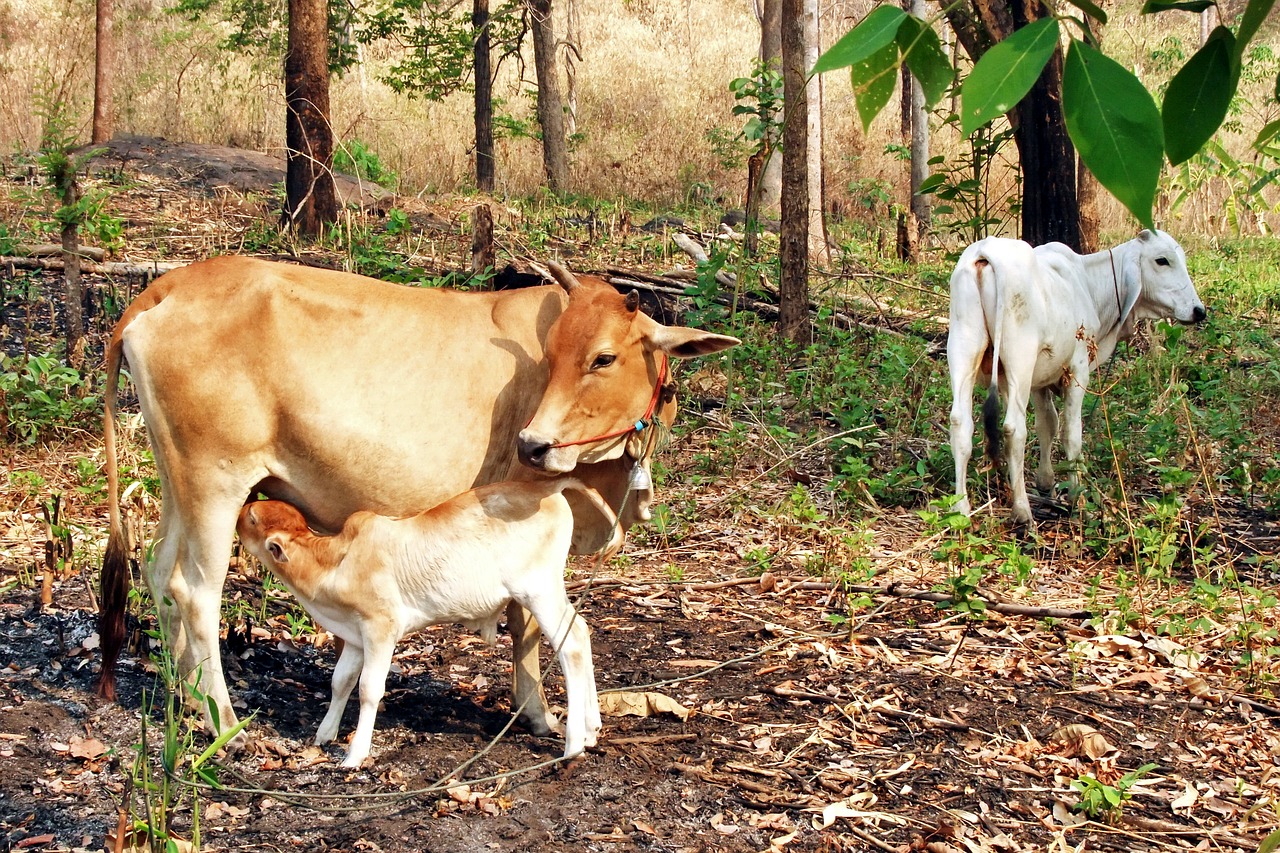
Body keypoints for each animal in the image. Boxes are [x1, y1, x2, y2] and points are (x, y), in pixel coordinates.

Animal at [97, 253, 742, 737]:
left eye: (603, 357)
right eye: (554, 353)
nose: (533, 443)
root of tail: (169, 284)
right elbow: (527, 625)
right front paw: (537, 714)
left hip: (178, 481)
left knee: (158, 571)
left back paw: (184, 697)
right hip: (215, 481)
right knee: (196, 591)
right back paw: (224, 721)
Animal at [947, 229, 1203, 522]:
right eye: (1162, 260)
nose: (1199, 311)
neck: (1088, 283)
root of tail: (986, 253)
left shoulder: (1040, 380)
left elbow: (1048, 424)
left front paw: (1046, 483)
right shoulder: (1077, 370)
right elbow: (1071, 434)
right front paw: (1076, 497)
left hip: (964, 349)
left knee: (960, 423)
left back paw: (961, 508)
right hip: (1019, 359)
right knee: (1013, 429)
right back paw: (1022, 510)